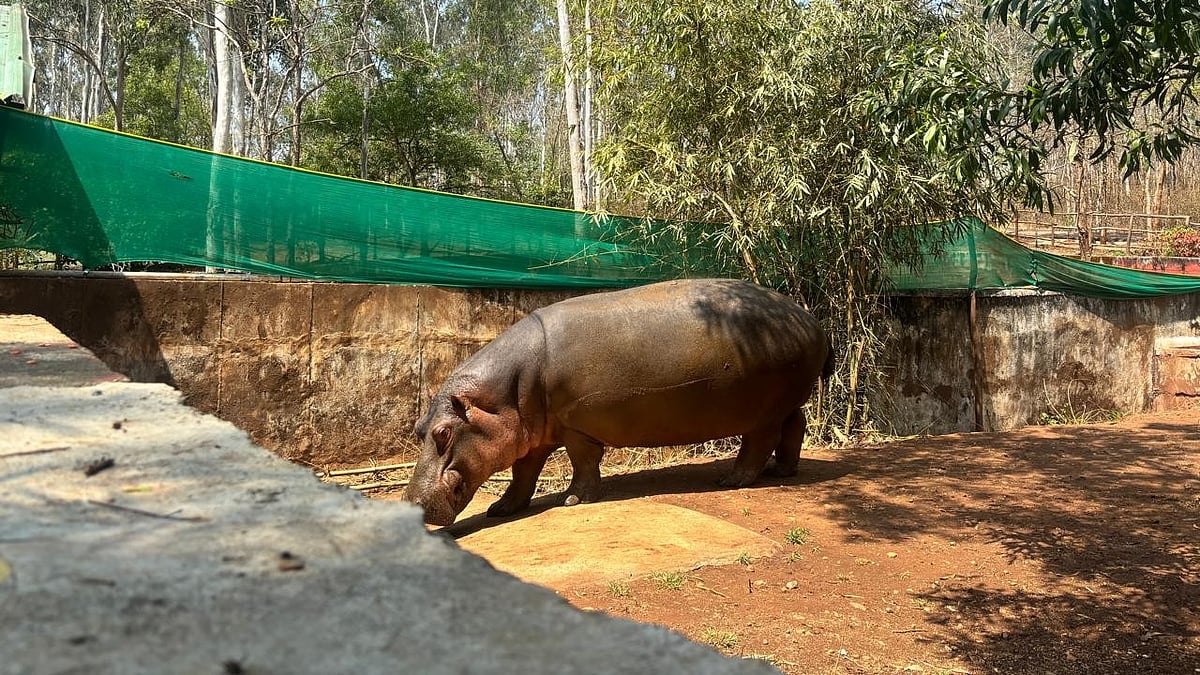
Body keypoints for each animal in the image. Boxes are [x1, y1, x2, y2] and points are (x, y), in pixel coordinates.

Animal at [405, 278, 834, 526]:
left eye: (443, 433)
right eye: (418, 429)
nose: (411, 503)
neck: (502, 395)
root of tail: (814, 322)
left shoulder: (575, 427)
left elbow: (582, 463)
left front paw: (573, 500)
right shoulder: (534, 435)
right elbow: (522, 473)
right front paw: (501, 508)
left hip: (761, 410)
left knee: (760, 441)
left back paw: (732, 479)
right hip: (785, 400)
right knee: (795, 425)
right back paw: (782, 471)